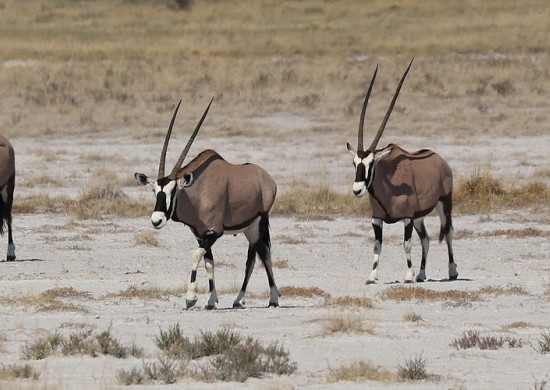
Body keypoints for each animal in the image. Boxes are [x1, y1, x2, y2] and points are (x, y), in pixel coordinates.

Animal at [134, 100, 280, 310]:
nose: (156, 220)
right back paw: (239, 300)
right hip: (248, 228)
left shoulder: (214, 232)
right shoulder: (200, 234)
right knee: (253, 258)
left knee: (264, 255)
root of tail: (267, 179)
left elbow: (196, 255)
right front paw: (211, 300)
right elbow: (209, 262)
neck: (197, 192)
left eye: (173, 191)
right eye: (155, 191)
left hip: (259, 223)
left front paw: (190, 298)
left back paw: (272, 299)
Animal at [348, 61, 460, 284]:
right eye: (355, 162)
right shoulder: (377, 219)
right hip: (419, 217)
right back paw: (422, 274)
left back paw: (452, 271)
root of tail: (440, 160)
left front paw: (408, 276)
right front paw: (372, 276)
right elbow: (377, 246)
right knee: (426, 239)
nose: (357, 190)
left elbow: (406, 244)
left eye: (371, 163)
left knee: (448, 232)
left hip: (444, 203)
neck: (388, 184)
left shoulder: (407, 218)